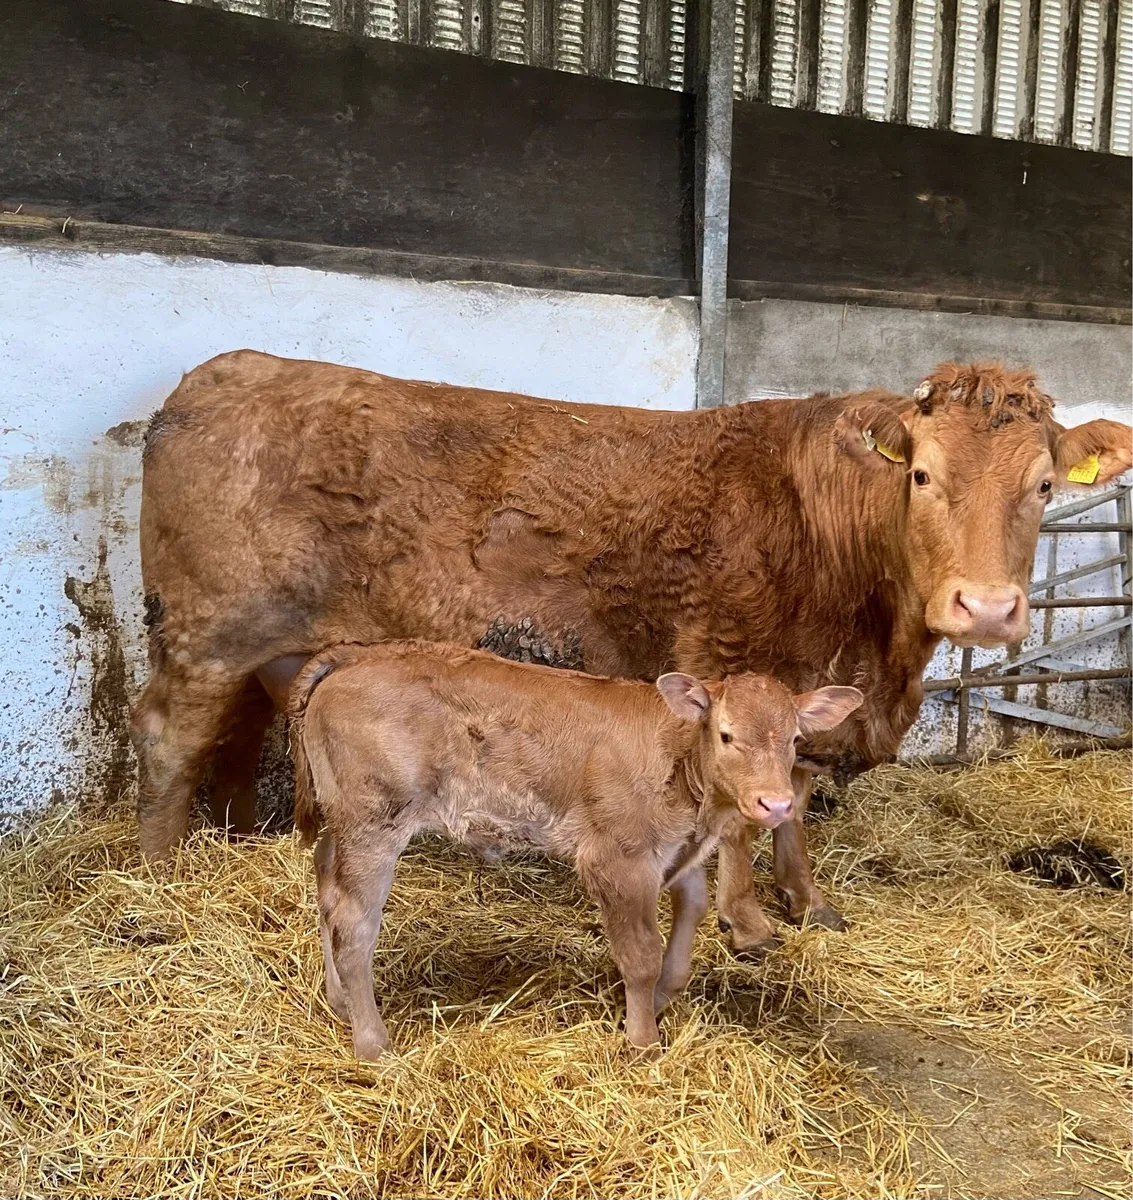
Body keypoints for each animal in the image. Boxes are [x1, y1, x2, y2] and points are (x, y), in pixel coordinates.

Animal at [131, 352, 1132, 953]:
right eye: (921, 475)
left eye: (1045, 486)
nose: (986, 608)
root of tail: (223, 373)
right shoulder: (735, 661)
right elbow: (748, 816)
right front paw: (747, 922)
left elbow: (794, 801)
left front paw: (808, 902)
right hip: (208, 627)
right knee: (171, 735)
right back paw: (158, 874)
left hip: (275, 645)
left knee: (248, 726)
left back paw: (239, 842)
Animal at [286, 639, 864, 1057]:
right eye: (725, 734)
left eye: (794, 739)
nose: (776, 803)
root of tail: (358, 654)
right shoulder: (619, 859)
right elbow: (641, 954)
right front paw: (643, 1040)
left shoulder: (677, 854)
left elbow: (691, 915)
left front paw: (660, 999)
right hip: (375, 823)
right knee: (354, 923)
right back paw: (373, 1044)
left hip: (341, 825)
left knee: (327, 898)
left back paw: (339, 1001)